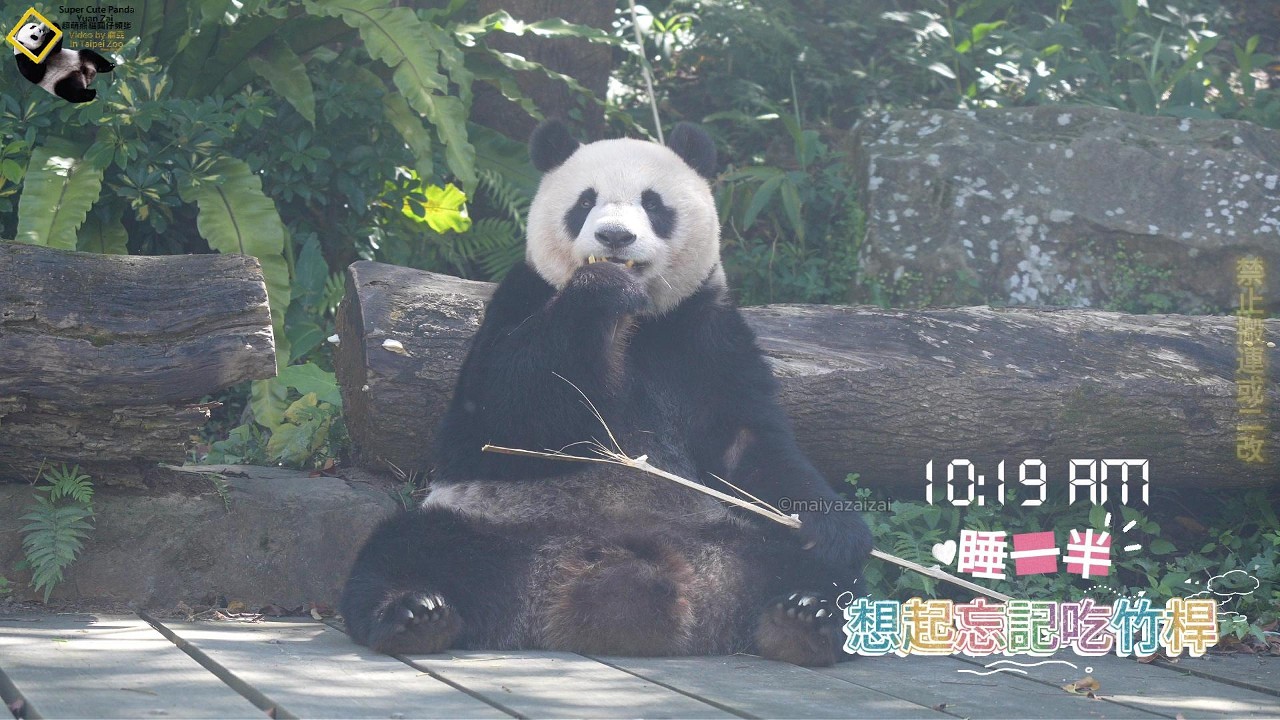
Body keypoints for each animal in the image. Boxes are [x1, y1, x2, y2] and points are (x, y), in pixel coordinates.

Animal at [340, 120, 873, 667]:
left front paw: (829, 529)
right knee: (403, 549)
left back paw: (804, 617)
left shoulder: (705, 333)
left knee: (819, 574)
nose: (615, 236)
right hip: (484, 526)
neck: (636, 320)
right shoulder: (520, 301)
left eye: (654, 203)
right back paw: (414, 613)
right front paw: (601, 286)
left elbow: (750, 444)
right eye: (585, 201)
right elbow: (497, 420)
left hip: (730, 536)